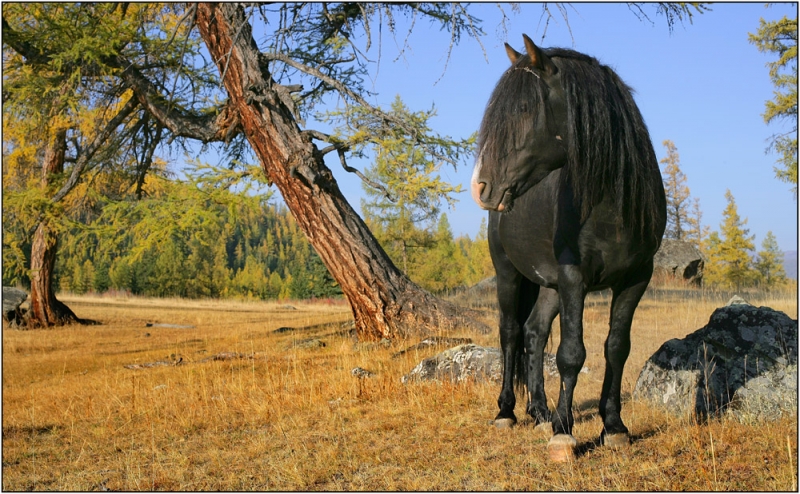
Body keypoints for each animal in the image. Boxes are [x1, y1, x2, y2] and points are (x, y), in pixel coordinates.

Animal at [472, 35, 664, 464]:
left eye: (524, 109)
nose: (481, 186)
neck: (611, 208)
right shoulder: (575, 277)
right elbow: (571, 353)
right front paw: (564, 433)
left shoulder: (635, 279)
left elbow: (616, 348)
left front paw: (614, 426)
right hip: (509, 273)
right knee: (511, 333)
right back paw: (508, 412)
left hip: (549, 285)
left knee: (534, 333)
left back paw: (540, 412)